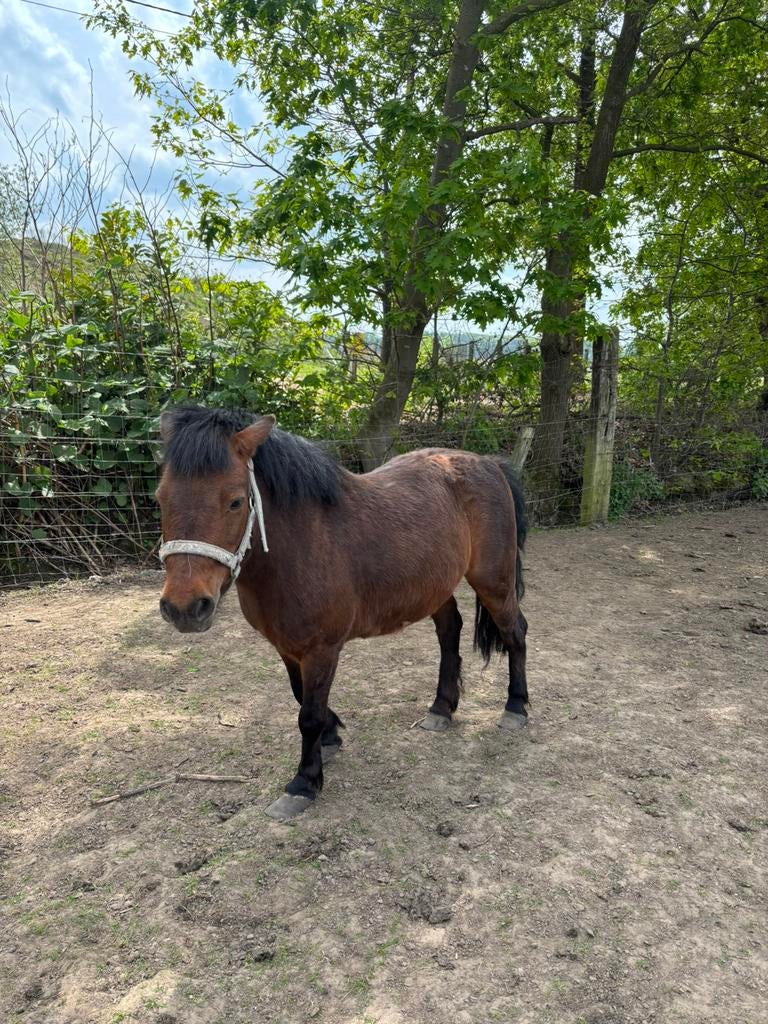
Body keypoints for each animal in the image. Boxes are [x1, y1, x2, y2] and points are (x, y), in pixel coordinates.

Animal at [155, 405, 529, 819]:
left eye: (235, 501)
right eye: (160, 499)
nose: (185, 608)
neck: (301, 544)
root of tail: (489, 464)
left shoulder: (322, 649)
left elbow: (308, 715)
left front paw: (304, 782)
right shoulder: (287, 647)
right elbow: (301, 696)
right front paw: (331, 737)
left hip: (493, 582)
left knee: (515, 632)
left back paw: (516, 707)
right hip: (435, 587)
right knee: (450, 633)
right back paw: (441, 709)